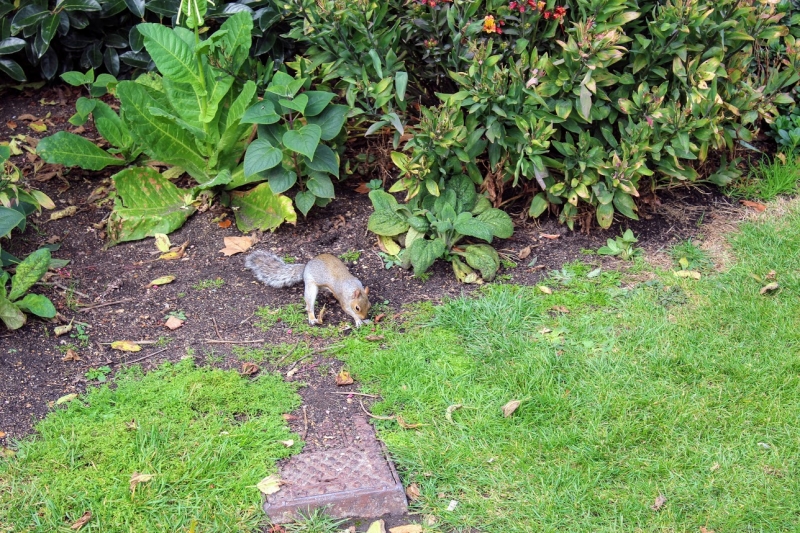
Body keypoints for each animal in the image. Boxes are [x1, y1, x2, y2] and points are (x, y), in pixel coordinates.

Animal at [244, 250, 372, 328]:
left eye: (369, 305)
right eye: (357, 308)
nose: (365, 316)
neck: (352, 288)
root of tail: (306, 267)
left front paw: (365, 320)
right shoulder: (344, 300)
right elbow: (348, 310)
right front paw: (358, 320)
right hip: (311, 287)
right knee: (309, 306)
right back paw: (312, 318)